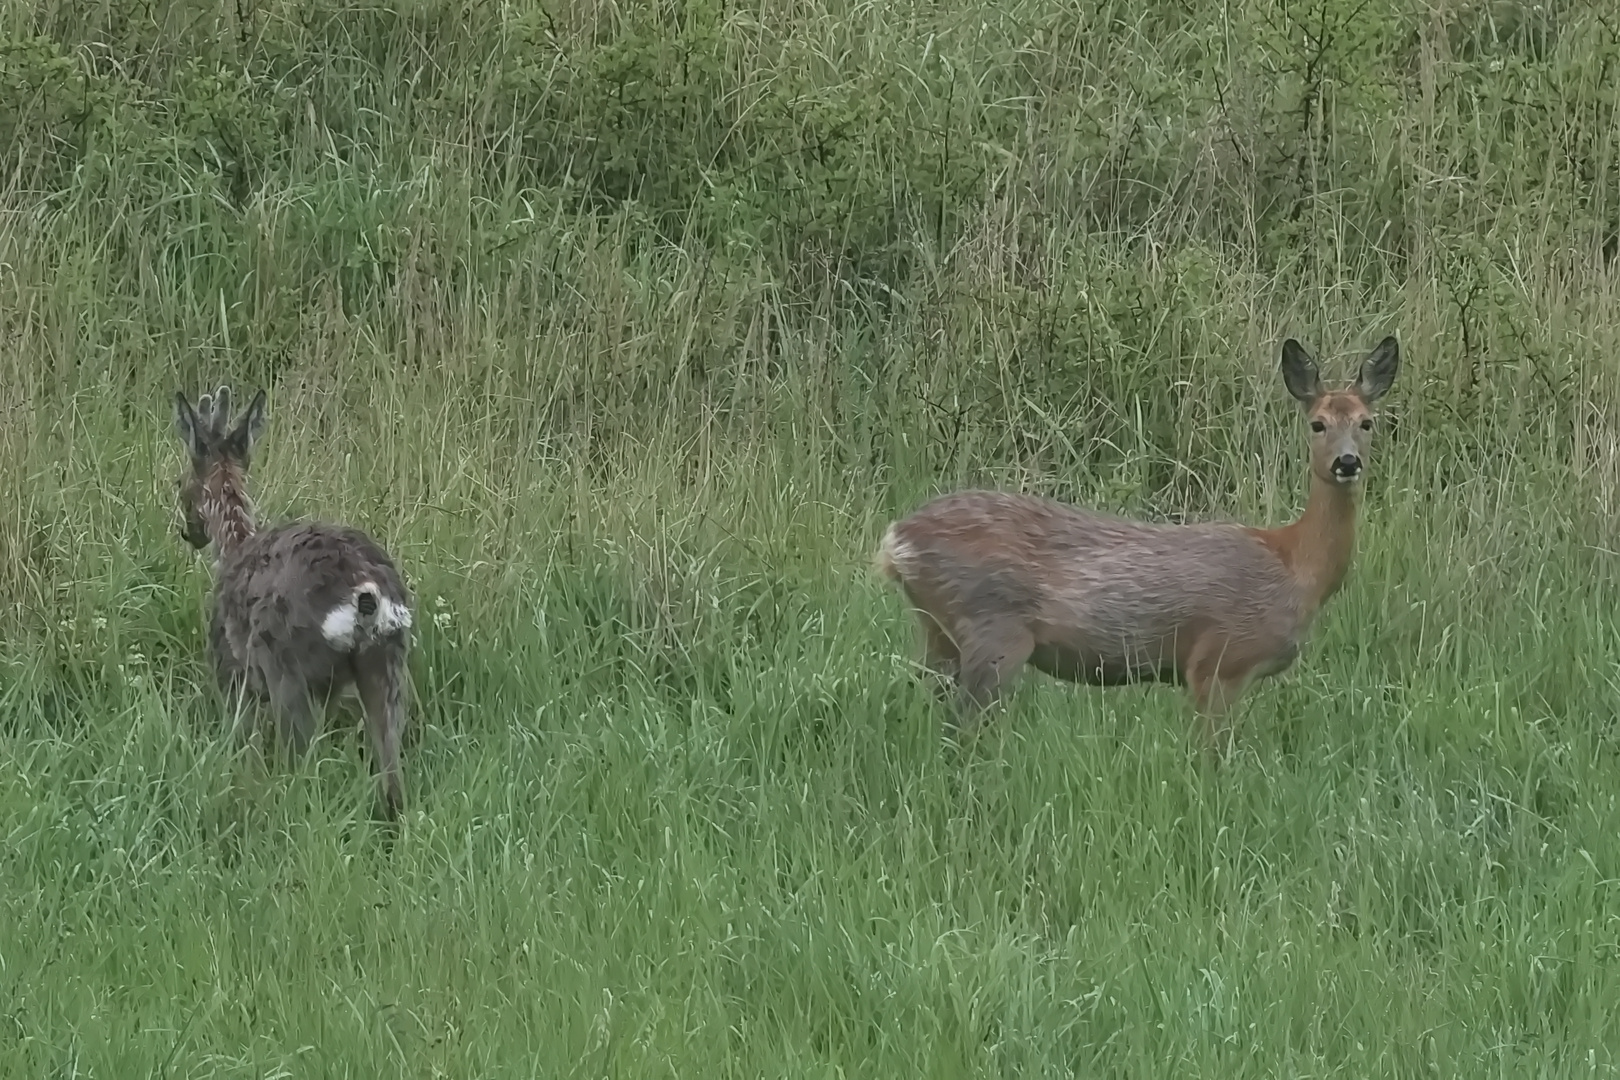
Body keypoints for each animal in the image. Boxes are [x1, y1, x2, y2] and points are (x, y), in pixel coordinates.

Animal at [174, 388, 414, 819]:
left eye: (179, 481)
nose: (189, 533)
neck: (235, 542)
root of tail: (365, 592)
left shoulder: (230, 669)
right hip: (387, 662)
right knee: (392, 774)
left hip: (284, 661)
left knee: (300, 759)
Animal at [881, 335, 1399, 744]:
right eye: (1317, 423)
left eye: (1367, 422)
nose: (1347, 462)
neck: (1294, 564)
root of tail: (895, 541)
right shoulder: (1219, 661)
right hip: (993, 629)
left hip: (938, 630)